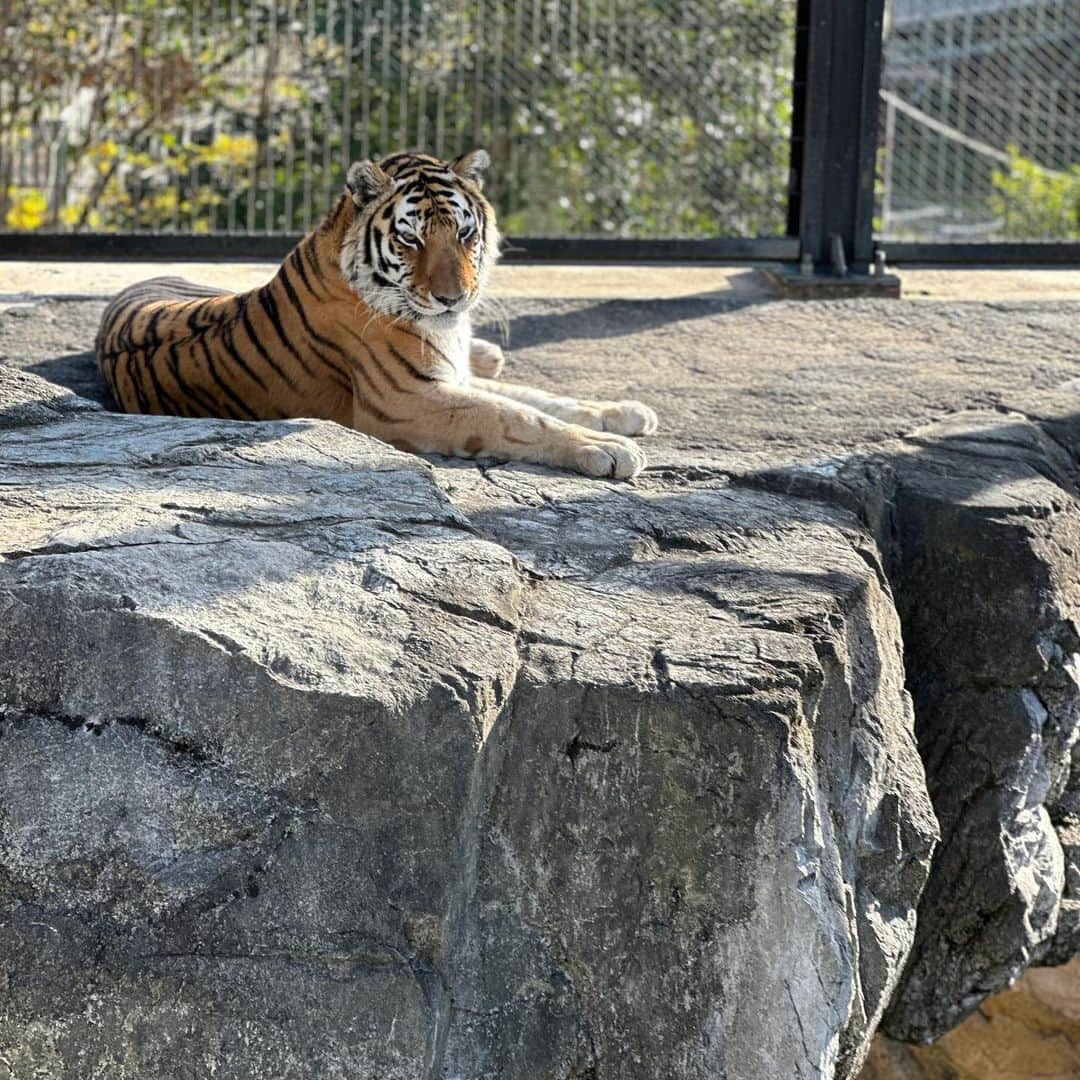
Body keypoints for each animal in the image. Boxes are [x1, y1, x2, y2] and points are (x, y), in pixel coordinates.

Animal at [97, 150, 656, 479]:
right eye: (411, 239)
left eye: (465, 233)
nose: (454, 299)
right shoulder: (407, 398)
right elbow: (516, 416)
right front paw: (609, 448)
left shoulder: (445, 375)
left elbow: (538, 397)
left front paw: (625, 412)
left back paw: (490, 352)